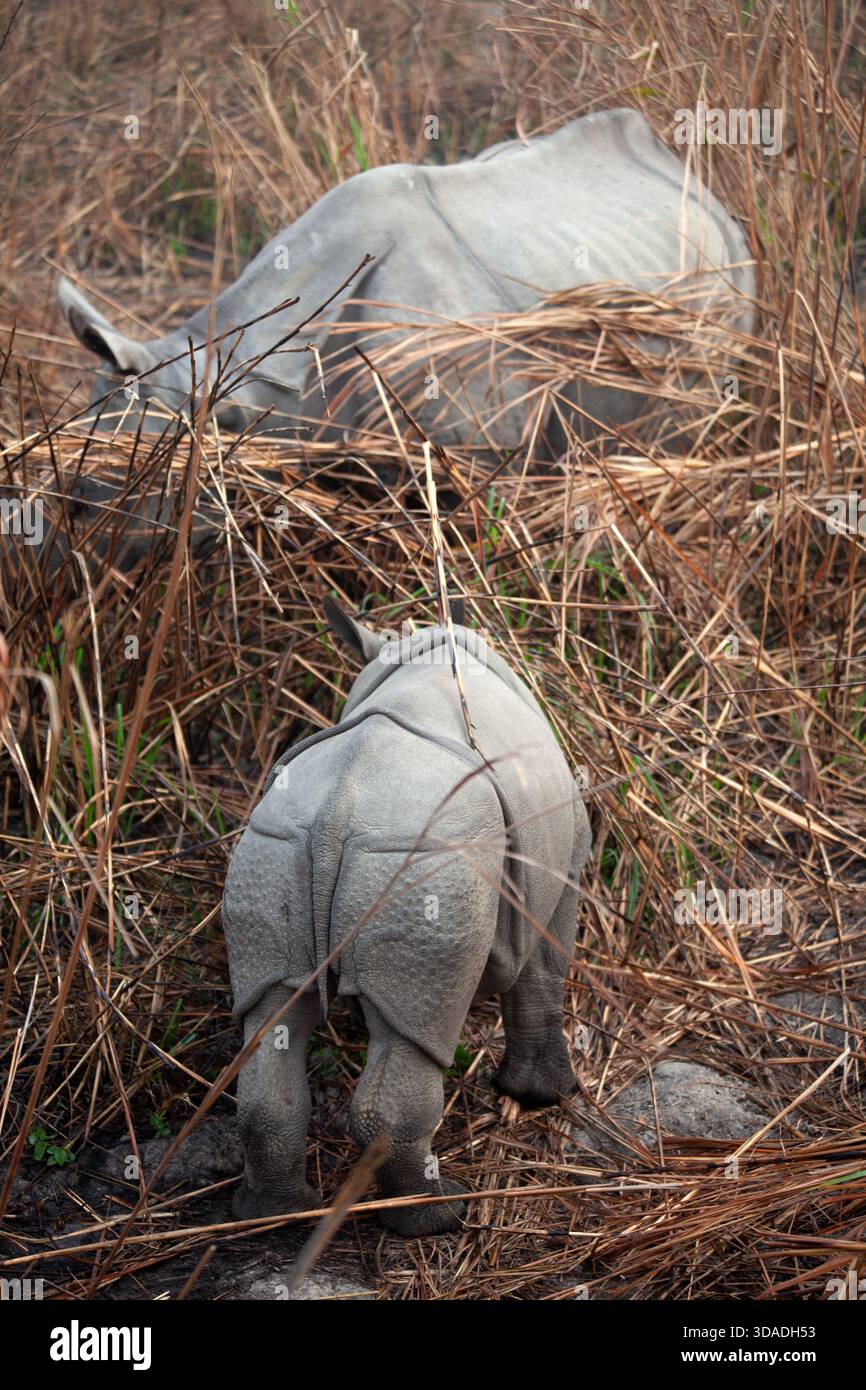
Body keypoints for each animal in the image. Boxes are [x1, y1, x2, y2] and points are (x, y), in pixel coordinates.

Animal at [220, 599, 592, 1236]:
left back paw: (275, 1214)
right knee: (412, 1029)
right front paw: (547, 1095)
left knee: (275, 1012)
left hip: (273, 847)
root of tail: (337, 811)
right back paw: (441, 1214)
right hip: (423, 861)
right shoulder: (564, 866)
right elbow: (544, 973)